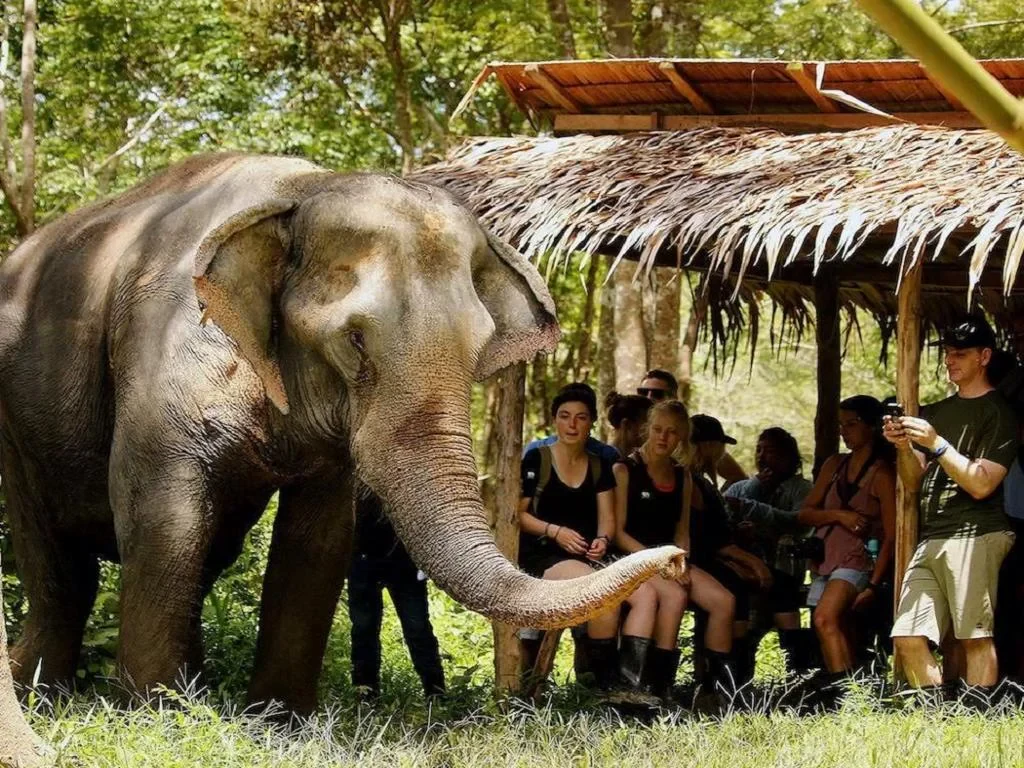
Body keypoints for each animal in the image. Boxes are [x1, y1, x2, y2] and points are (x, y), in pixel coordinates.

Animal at [0, 152, 682, 714]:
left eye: (480, 348)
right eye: (354, 341)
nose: (676, 560)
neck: (302, 192)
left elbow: (318, 538)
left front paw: (279, 720)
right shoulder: (160, 354)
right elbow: (161, 516)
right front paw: (154, 714)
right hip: (17, 427)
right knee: (64, 567)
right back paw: (46, 693)